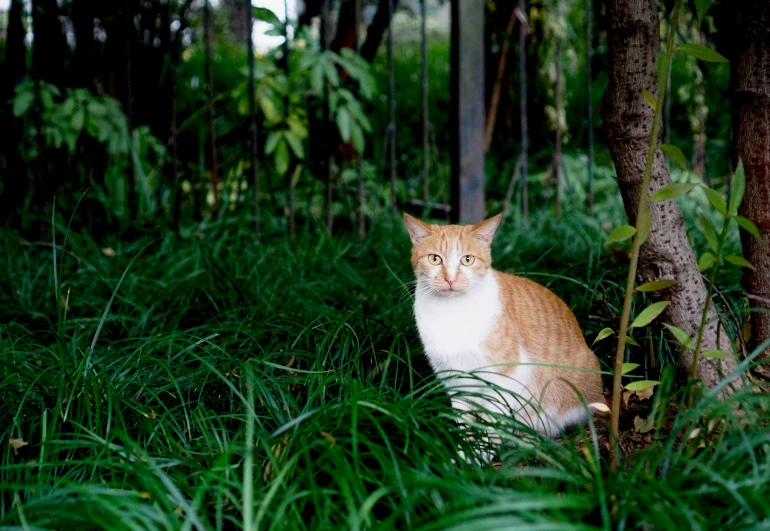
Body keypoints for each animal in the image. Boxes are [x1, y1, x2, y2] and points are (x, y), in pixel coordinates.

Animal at [402, 212, 608, 462]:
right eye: (434, 259)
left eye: (467, 260)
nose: (450, 279)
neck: (451, 313)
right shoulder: (456, 381)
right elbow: (465, 424)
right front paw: (463, 455)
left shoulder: (504, 377)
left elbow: (490, 424)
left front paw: (479, 455)